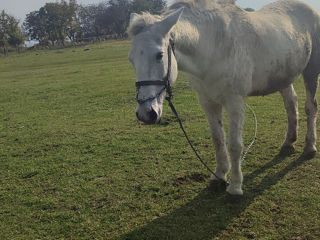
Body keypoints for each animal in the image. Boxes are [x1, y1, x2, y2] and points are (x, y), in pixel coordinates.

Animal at [127, 0, 320, 195]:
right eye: (131, 59)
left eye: (159, 55)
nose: (146, 113)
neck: (212, 45)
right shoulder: (208, 102)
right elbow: (218, 139)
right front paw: (219, 175)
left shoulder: (235, 102)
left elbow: (234, 145)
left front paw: (235, 185)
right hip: (283, 77)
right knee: (291, 104)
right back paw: (288, 143)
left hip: (311, 71)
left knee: (310, 107)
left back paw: (310, 147)